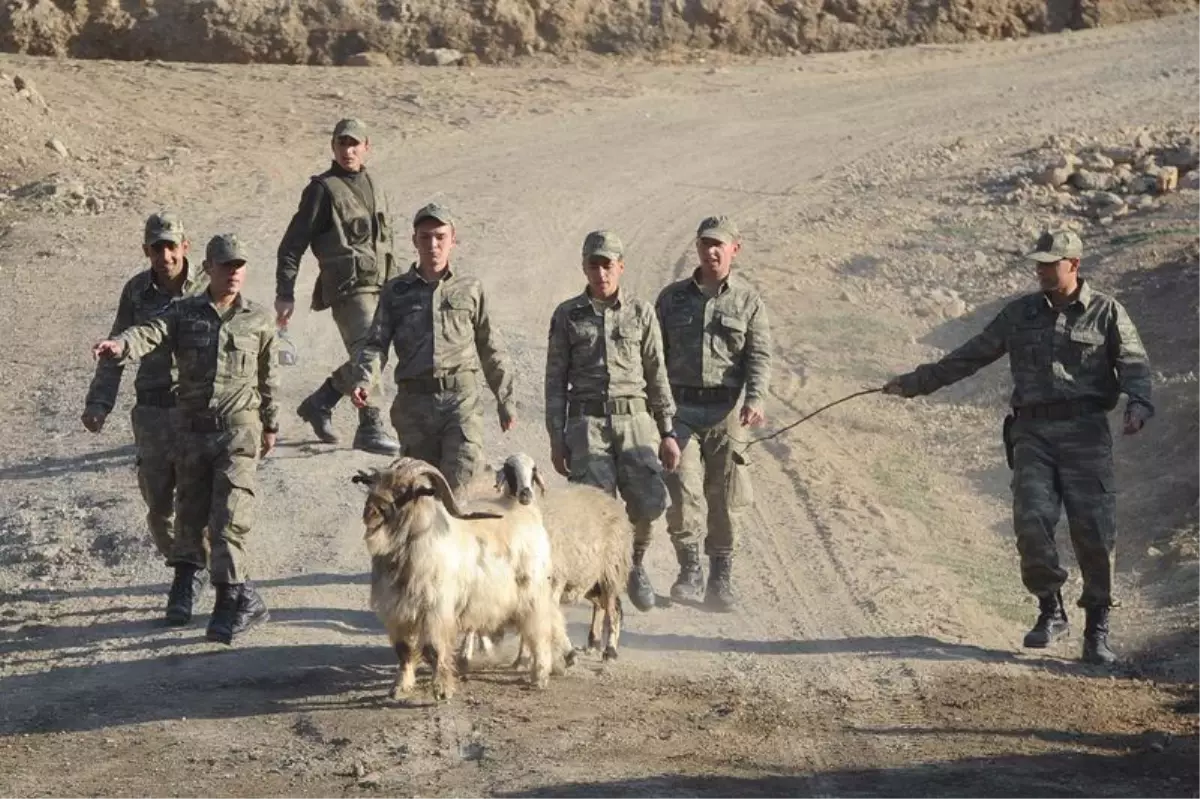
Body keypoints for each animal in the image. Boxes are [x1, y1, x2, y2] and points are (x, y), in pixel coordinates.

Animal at [350, 453, 556, 695]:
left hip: (532, 593)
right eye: (374, 483)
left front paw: (442, 689)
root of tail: (524, 508)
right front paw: (400, 687)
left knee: (539, 631)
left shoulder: (436, 609)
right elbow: (404, 649)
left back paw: (539, 676)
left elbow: (434, 648)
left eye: (402, 489)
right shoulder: (398, 612)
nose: (370, 513)